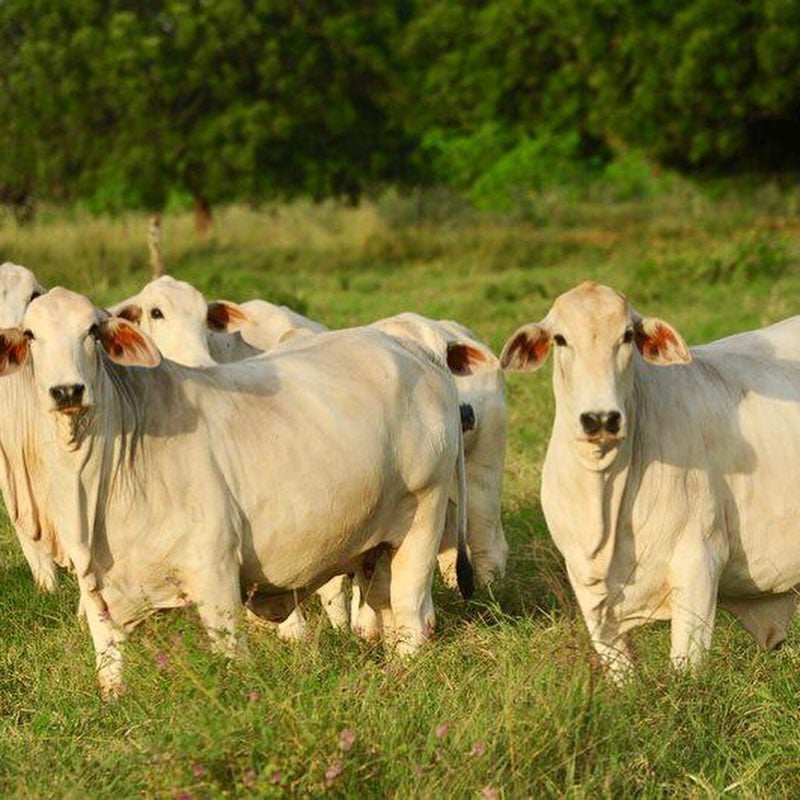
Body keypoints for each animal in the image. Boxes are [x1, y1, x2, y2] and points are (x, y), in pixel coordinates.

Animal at [504, 282, 800, 680]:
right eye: (561, 339)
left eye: (627, 336)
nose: (600, 418)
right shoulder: (586, 587)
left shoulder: (698, 563)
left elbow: (685, 669)